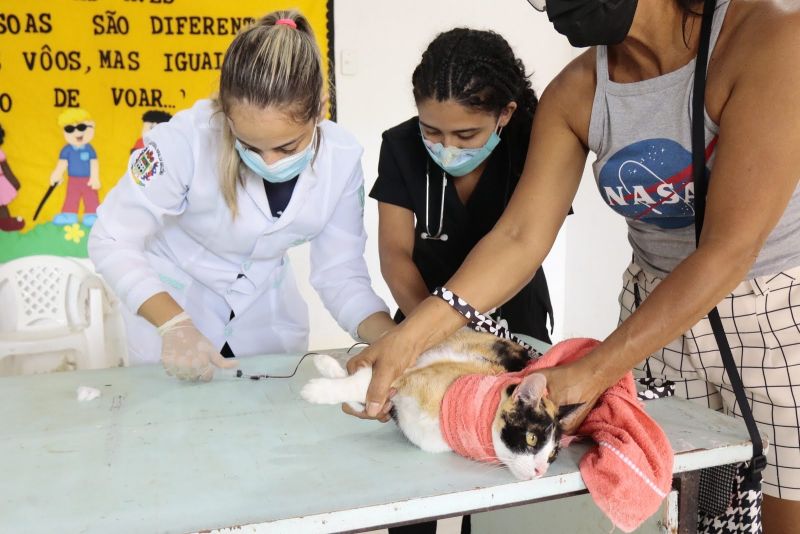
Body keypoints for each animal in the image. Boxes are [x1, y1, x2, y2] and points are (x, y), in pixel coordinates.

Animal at [300, 328, 568, 484]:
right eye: (531, 438)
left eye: (553, 455)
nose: (541, 471)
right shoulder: (404, 379)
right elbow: (359, 384)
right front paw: (316, 390)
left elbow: (362, 395)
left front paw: (323, 381)